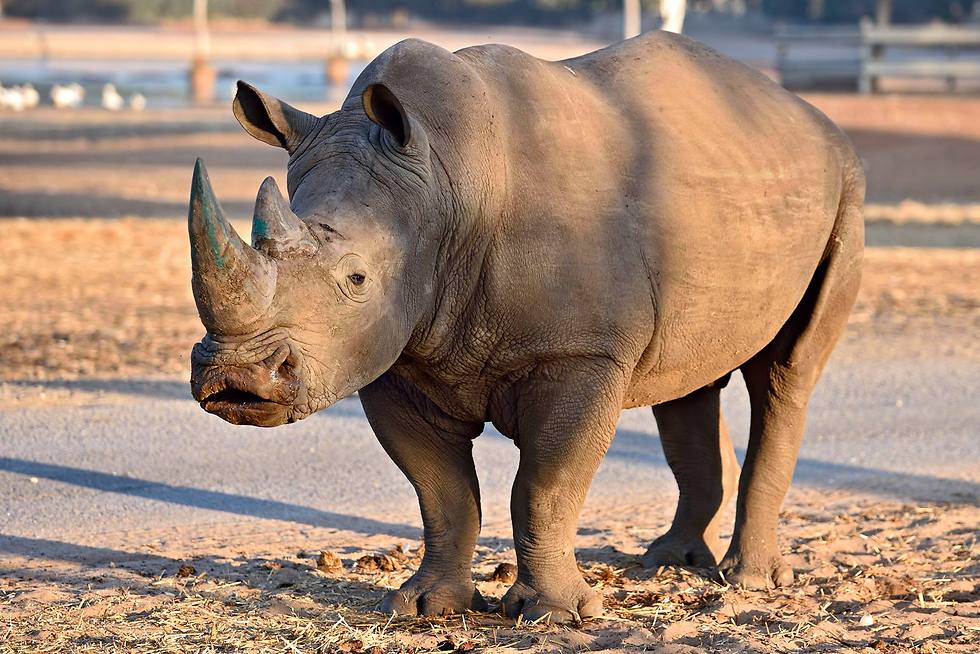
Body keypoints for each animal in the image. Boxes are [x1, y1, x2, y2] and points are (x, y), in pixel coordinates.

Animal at [188, 31, 864, 623]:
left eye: (356, 279)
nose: (236, 378)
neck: (442, 186)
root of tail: (807, 115)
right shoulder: (394, 355)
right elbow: (441, 492)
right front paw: (426, 607)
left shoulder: (581, 354)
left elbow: (545, 486)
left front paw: (553, 615)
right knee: (688, 378)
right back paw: (670, 563)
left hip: (844, 184)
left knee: (786, 371)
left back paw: (747, 580)